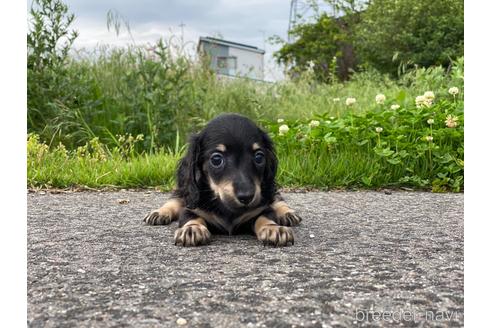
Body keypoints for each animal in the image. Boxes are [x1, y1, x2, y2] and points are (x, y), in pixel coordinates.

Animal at [144, 113, 302, 246]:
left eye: (259, 157)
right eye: (216, 159)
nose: (247, 197)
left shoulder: (261, 208)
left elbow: (266, 216)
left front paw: (273, 229)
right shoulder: (191, 209)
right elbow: (191, 217)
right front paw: (192, 229)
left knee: (276, 198)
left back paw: (287, 213)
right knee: (175, 200)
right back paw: (159, 213)